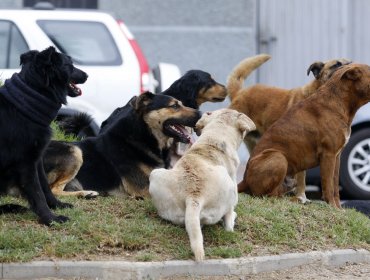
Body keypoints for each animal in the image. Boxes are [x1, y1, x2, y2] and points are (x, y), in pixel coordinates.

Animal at [0, 46, 87, 225]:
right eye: (69, 65)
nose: (87, 75)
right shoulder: (26, 162)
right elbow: (37, 192)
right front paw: (50, 219)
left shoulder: (37, 158)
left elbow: (45, 187)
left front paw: (57, 205)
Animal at [44, 92, 201, 197]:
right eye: (174, 106)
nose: (201, 114)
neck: (143, 137)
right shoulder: (145, 187)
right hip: (75, 151)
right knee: (53, 190)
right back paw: (86, 193)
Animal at [237, 63, 370, 208]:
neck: (339, 100)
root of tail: (244, 179)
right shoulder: (328, 155)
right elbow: (328, 185)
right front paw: (332, 206)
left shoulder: (337, 156)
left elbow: (335, 186)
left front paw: (338, 209)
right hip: (277, 156)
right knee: (265, 195)